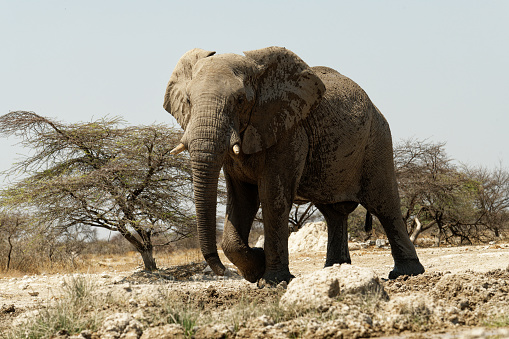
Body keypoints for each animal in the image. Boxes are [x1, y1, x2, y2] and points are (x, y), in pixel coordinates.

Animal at [163, 45, 424, 284]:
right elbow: (242, 199)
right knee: (333, 213)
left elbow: (272, 197)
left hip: (377, 140)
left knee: (385, 204)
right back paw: (335, 270)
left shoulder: (290, 133)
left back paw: (406, 274)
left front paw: (273, 280)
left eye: (240, 100)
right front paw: (257, 269)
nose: (221, 271)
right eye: (188, 100)